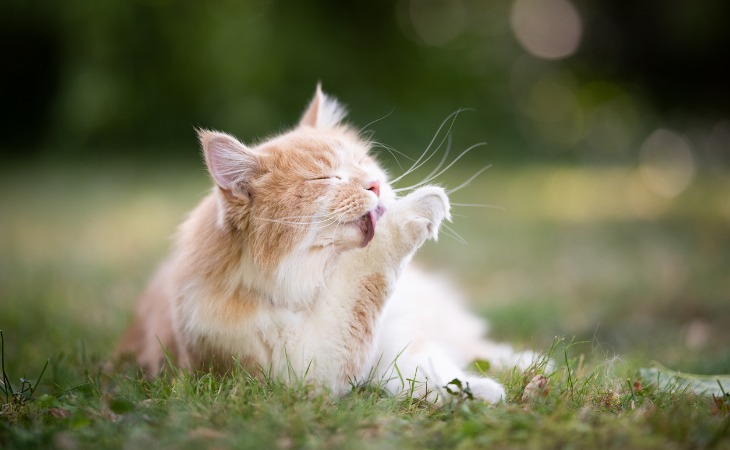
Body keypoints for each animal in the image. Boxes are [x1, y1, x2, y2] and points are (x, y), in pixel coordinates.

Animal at [116, 84, 532, 404]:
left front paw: (481, 391)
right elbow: (370, 269)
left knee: (478, 345)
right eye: (326, 178)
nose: (375, 185)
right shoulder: (310, 365)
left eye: (363, 162)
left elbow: (435, 366)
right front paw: (420, 207)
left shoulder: (393, 339)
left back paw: (530, 364)